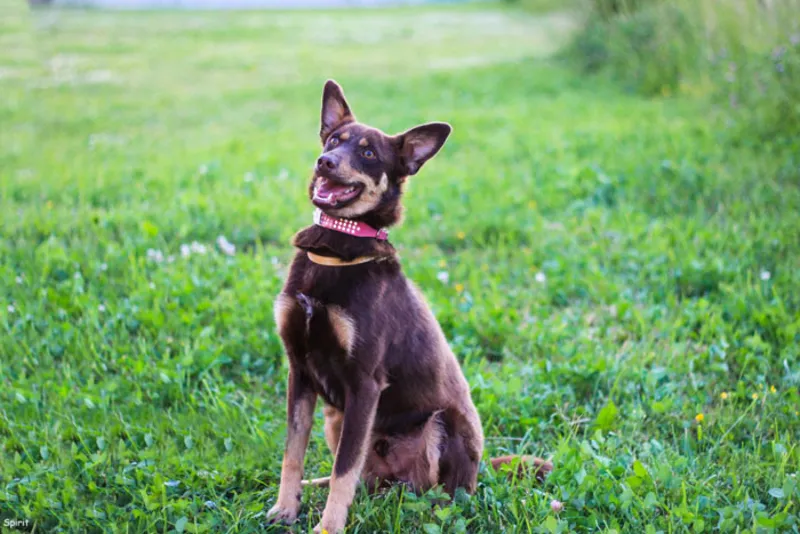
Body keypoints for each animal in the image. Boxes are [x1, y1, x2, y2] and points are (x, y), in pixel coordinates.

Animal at [268, 80, 552, 534]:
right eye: (333, 140)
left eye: (368, 154)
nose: (325, 162)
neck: (336, 247)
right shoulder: (300, 370)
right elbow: (293, 453)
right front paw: (285, 508)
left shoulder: (364, 384)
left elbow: (344, 471)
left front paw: (327, 528)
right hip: (336, 417)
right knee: (361, 479)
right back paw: (319, 484)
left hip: (440, 426)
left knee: (437, 496)